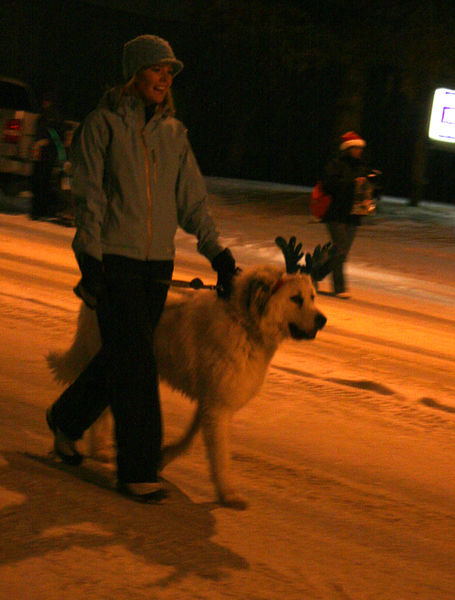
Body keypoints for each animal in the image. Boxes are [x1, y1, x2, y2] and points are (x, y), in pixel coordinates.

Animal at [49, 264, 328, 508]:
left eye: (312, 297)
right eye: (295, 298)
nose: (323, 320)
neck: (244, 323)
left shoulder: (211, 400)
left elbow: (190, 439)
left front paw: (163, 458)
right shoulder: (217, 405)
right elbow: (220, 455)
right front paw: (228, 494)